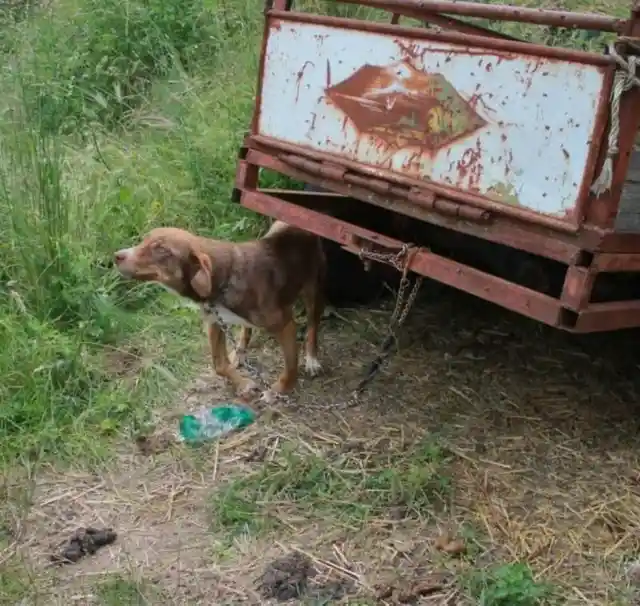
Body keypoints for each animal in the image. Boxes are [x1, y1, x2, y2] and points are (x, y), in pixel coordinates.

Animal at [113, 222, 324, 400]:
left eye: (161, 249)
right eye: (143, 240)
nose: (117, 255)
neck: (223, 279)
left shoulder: (285, 325)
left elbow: (291, 366)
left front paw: (279, 390)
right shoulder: (215, 322)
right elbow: (219, 365)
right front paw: (244, 384)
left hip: (313, 291)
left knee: (313, 324)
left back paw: (312, 359)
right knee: (246, 329)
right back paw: (239, 352)